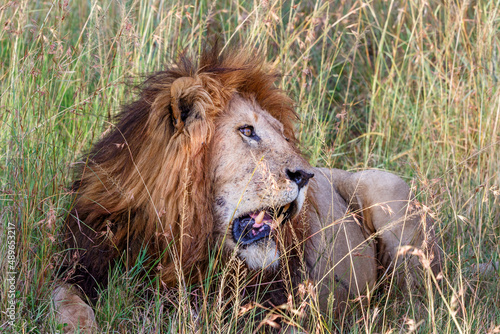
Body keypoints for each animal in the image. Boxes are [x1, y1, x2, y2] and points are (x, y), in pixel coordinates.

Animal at [53, 45, 442, 332]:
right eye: (246, 131)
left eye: (283, 135)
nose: (305, 175)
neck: (180, 236)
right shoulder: (82, 260)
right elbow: (65, 298)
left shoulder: (271, 307)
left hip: (386, 187)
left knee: (416, 299)